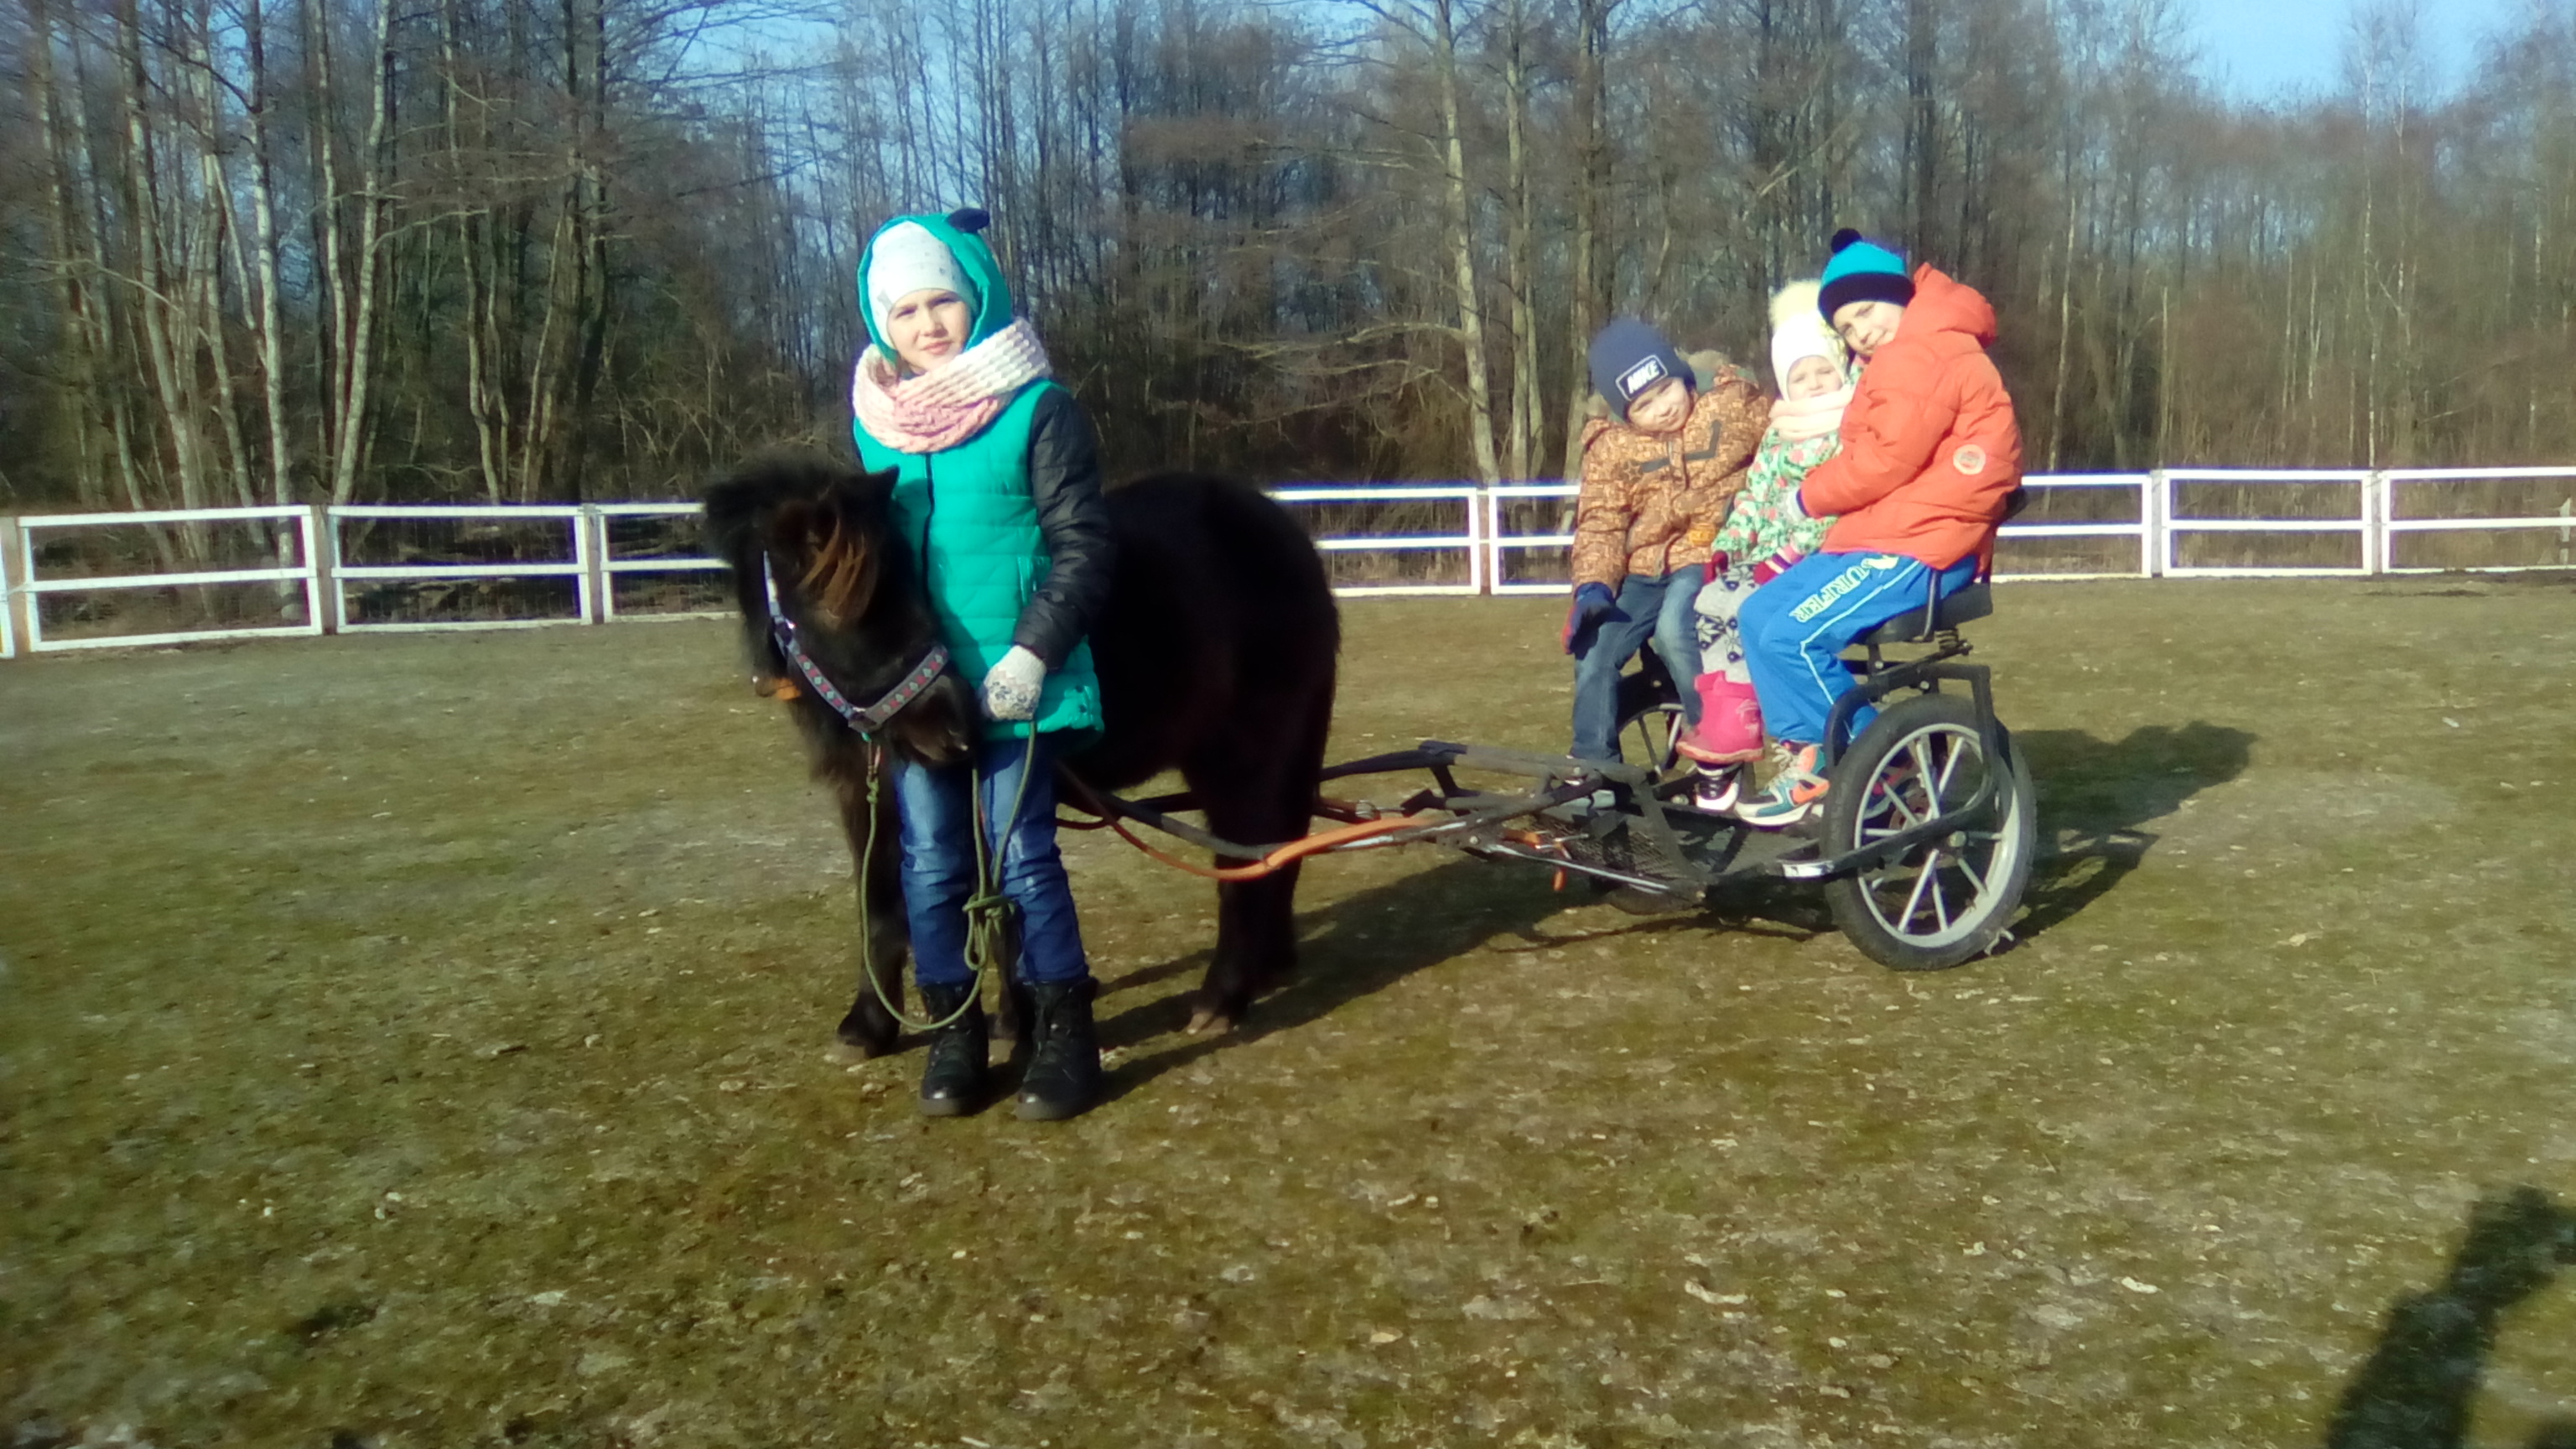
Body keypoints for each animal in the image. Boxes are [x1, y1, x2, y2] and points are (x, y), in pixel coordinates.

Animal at [705, 454, 1349, 1046]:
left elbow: (999, 911)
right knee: (1277, 845)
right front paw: (868, 1027)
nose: (957, 728)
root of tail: (1288, 538)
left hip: (1242, 757)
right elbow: (880, 908)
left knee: (1246, 861)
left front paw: (1017, 1025)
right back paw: (1270, 966)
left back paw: (1223, 997)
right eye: (840, 604)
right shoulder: (866, 797)